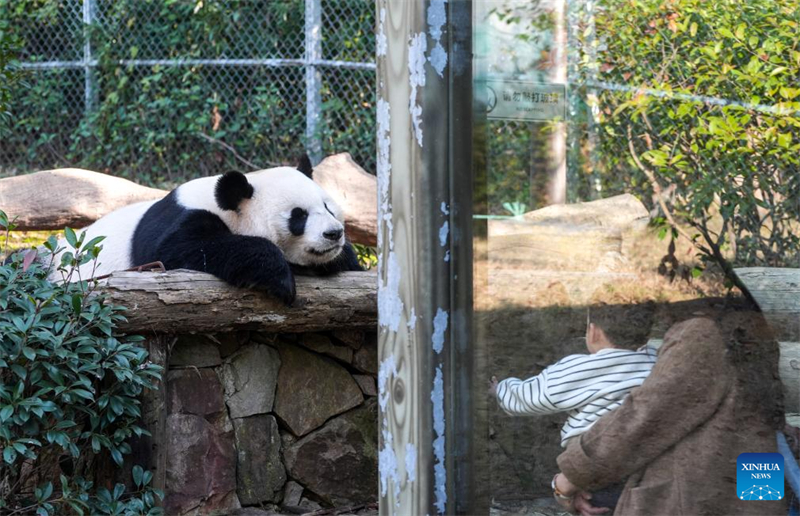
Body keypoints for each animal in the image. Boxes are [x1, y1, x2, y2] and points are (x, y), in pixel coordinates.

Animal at [53, 157, 361, 304]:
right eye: (298, 216)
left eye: (327, 207)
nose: (333, 234)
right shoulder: (183, 221)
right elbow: (187, 251)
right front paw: (281, 279)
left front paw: (345, 259)